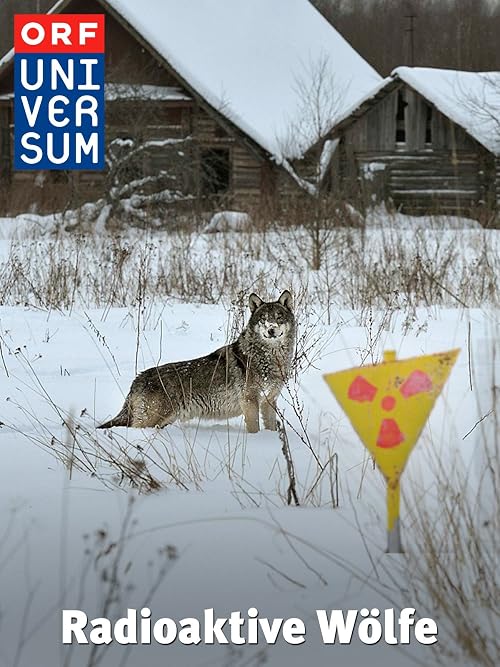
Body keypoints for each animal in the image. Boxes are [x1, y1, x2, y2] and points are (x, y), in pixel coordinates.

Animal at [98, 290, 295, 432]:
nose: (271, 330)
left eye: (279, 317)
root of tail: (138, 379)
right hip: (153, 420)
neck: (270, 359)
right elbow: (254, 430)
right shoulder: (250, 402)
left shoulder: (269, 402)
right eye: (264, 319)